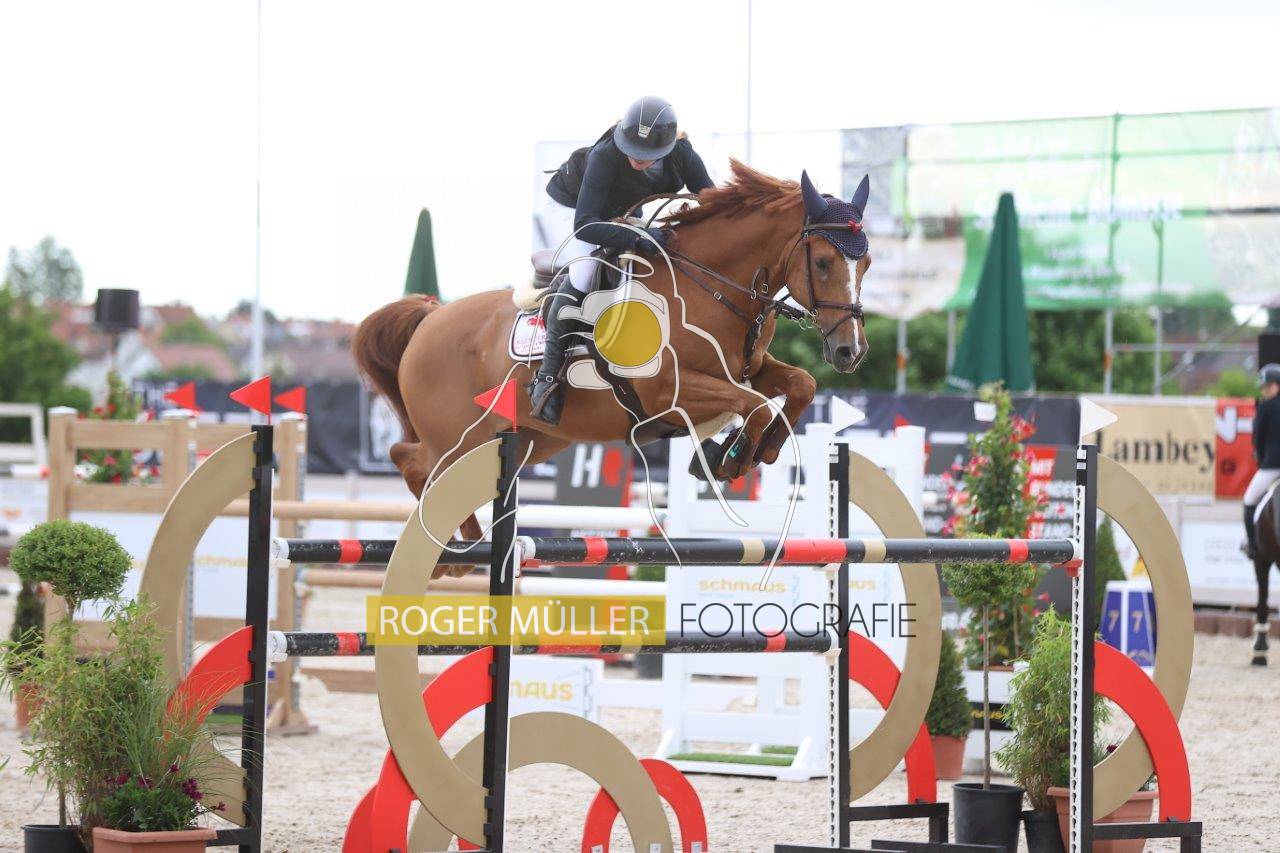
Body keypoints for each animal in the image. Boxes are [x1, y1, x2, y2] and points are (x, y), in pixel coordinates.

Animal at [353, 160, 872, 575]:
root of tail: (430, 317)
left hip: (531, 440)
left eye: (864, 263)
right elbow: (759, 405)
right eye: (823, 262)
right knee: (415, 461)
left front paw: (754, 453)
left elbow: (798, 386)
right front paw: (730, 458)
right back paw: (453, 554)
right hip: (458, 436)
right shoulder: (668, 392)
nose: (851, 351)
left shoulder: (748, 368)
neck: (708, 286)